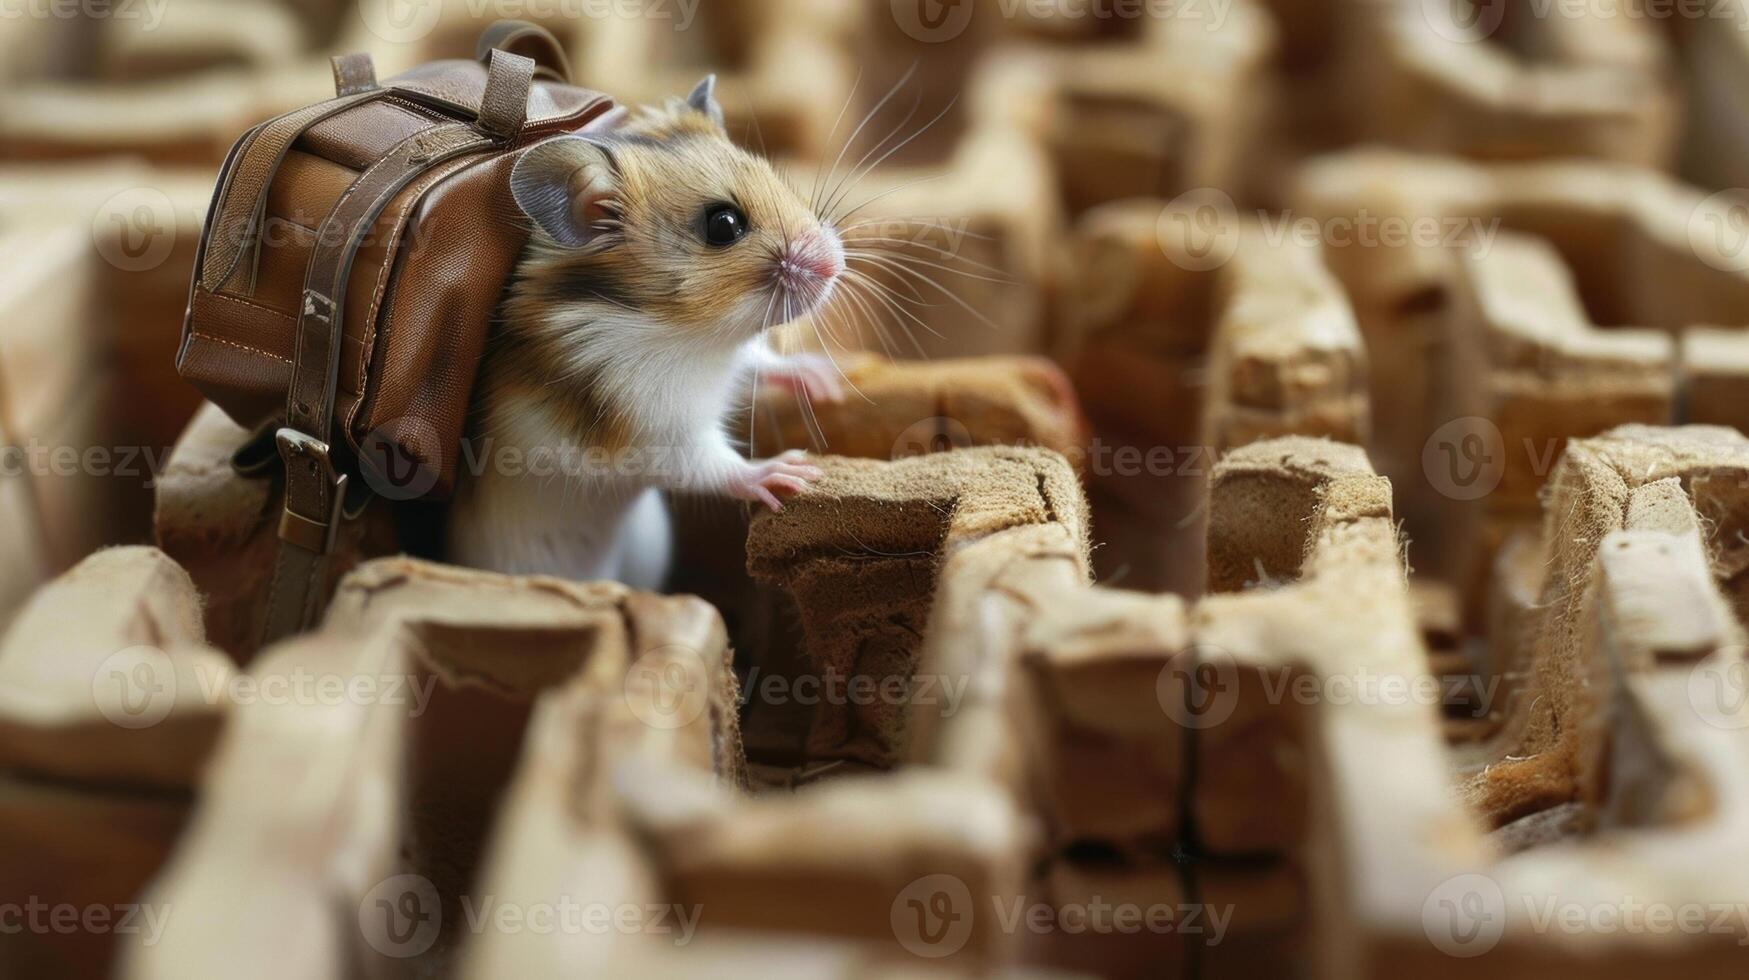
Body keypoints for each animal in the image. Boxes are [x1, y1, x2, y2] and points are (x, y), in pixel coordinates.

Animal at [440, 76, 843, 584]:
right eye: (724, 224)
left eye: (772, 173)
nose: (837, 264)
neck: (690, 333)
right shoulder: (654, 428)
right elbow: (715, 465)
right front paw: (790, 472)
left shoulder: (734, 357)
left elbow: (761, 361)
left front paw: (824, 380)